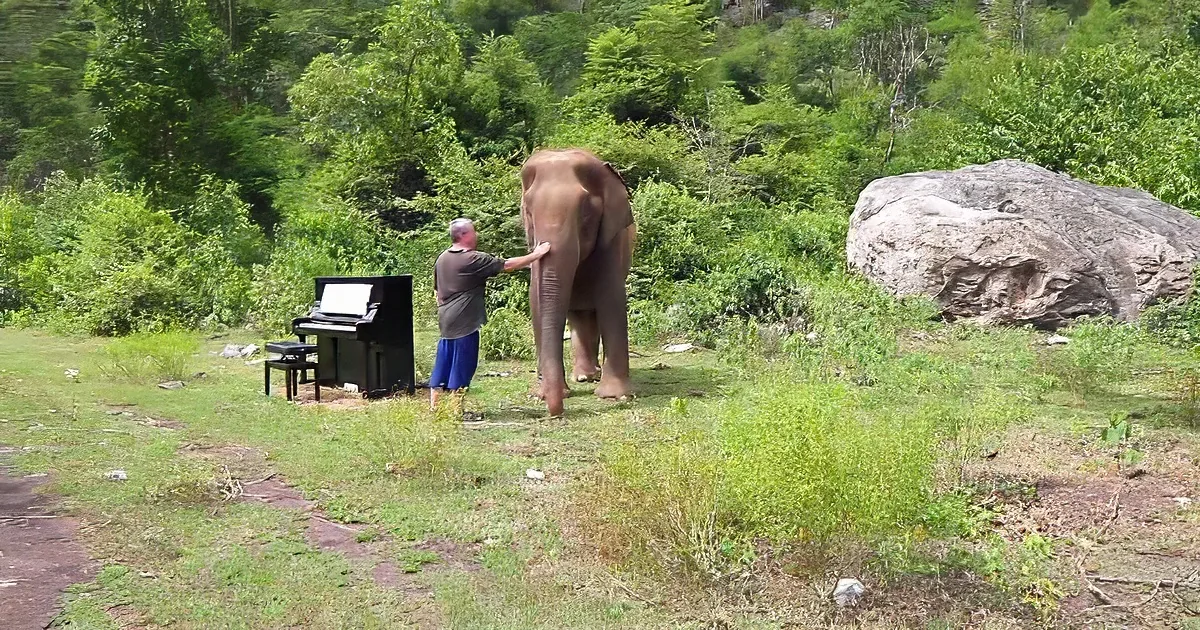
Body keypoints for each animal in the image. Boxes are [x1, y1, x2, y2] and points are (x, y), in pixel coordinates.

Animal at [520, 148, 635, 417]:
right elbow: (535, 299)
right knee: (580, 315)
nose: (556, 411)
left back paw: (590, 376)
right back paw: (583, 376)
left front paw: (615, 396)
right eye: (528, 212)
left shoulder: (612, 236)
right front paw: (541, 394)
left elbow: (611, 296)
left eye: (585, 213)